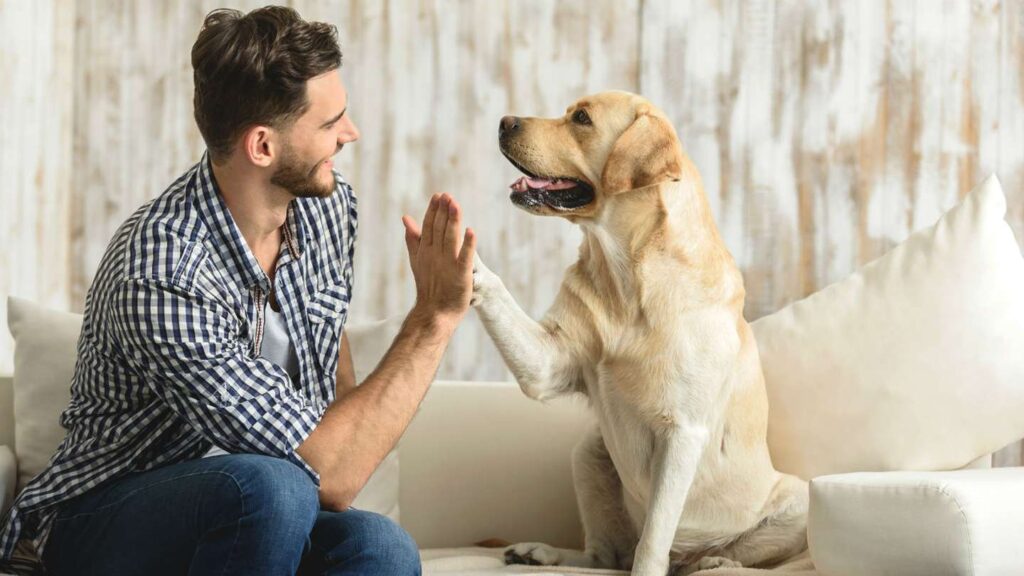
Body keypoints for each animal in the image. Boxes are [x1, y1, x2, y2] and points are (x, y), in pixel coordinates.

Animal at [471, 90, 806, 573]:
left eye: (582, 118)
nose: (503, 121)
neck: (627, 276)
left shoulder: (682, 432)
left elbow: (652, 542)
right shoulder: (547, 363)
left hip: (798, 498)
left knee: (719, 556)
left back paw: (712, 562)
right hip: (589, 452)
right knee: (603, 555)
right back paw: (539, 552)